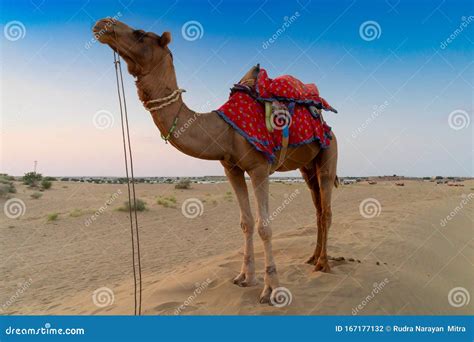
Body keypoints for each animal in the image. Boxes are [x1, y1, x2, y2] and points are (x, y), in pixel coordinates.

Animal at [91, 18, 336, 304]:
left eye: (140, 33)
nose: (103, 24)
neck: (224, 130)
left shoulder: (259, 168)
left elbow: (264, 226)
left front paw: (271, 289)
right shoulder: (232, 168)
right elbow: (246, 222)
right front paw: (244, 278)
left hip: (329, 151)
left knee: (326, 209)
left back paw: (323, 264)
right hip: (307, 166)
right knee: (317, 208)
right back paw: (312, 257)